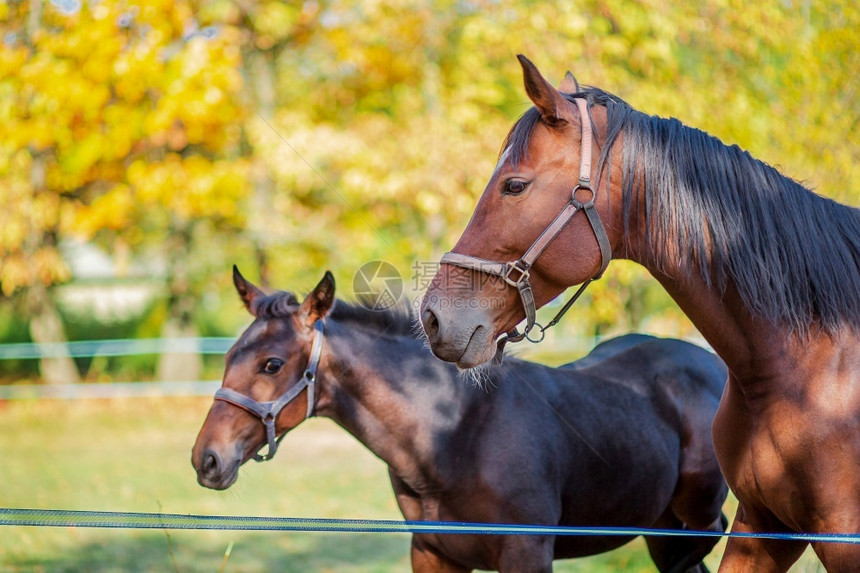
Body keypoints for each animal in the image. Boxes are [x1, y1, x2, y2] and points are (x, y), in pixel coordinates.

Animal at [191, 268, 728, 572]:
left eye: (272, 364)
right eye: (229, 356)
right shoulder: (433, 554)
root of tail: (715, 365)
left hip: (695, 514)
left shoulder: (527, 555)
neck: (454, 433)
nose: (206, 459)